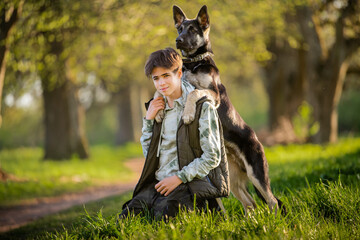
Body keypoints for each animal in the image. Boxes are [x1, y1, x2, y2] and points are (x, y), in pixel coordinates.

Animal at [156, 4, 286, 215]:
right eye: (180, 29)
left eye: (192, 30)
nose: (178, 40)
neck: (195, 63)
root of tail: (257, 139)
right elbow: (161, 94)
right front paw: (158, 111)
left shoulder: (213, 94)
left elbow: (194, 92)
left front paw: (188, 114)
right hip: (231, 178)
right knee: (250, 202)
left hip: (256, 174)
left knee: (272, 201)